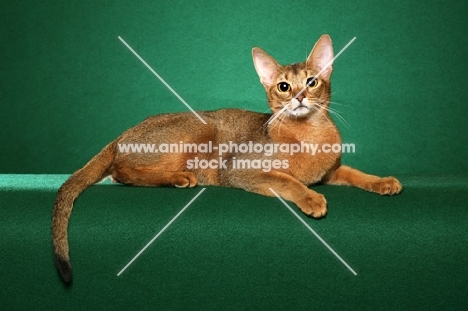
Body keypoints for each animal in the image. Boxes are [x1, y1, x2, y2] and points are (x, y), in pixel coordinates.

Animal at [52, 35, 402, 284]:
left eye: (312, 82)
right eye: (284, 87)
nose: (300, 97)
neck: (310, 134)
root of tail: (123, 133)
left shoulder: (331, 172)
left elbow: (356, 174)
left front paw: (383, 181)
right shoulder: (241, 170)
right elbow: (285, 180)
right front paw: (311, 199)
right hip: (199, 126)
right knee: (119, 172)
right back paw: (179, 178)